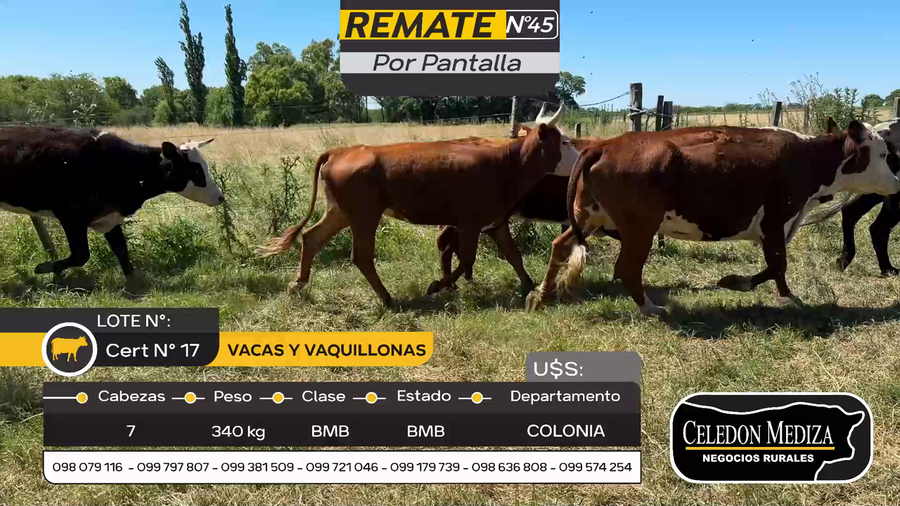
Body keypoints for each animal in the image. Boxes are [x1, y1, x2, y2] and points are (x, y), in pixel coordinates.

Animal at [0, 127, 224, 293]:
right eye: (196, 170)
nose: (221, 197)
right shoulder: (71, 217)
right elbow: (82, 255)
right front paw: (42, 268)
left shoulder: (110, 218)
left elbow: (121, 250)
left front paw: (134, 286)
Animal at [257, 106, 576, 306]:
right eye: (565, 141)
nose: (582, 156)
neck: (506, 165)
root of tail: (341, 151)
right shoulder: (470, 222)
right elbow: (467, 260)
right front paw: (438, 285)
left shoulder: (495, 222)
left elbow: (514, 256)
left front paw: (530, 286)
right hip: (364, 216)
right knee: (361, 256)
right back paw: (387, 298)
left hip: (340, 212)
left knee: (311, 238)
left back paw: (298, 284)